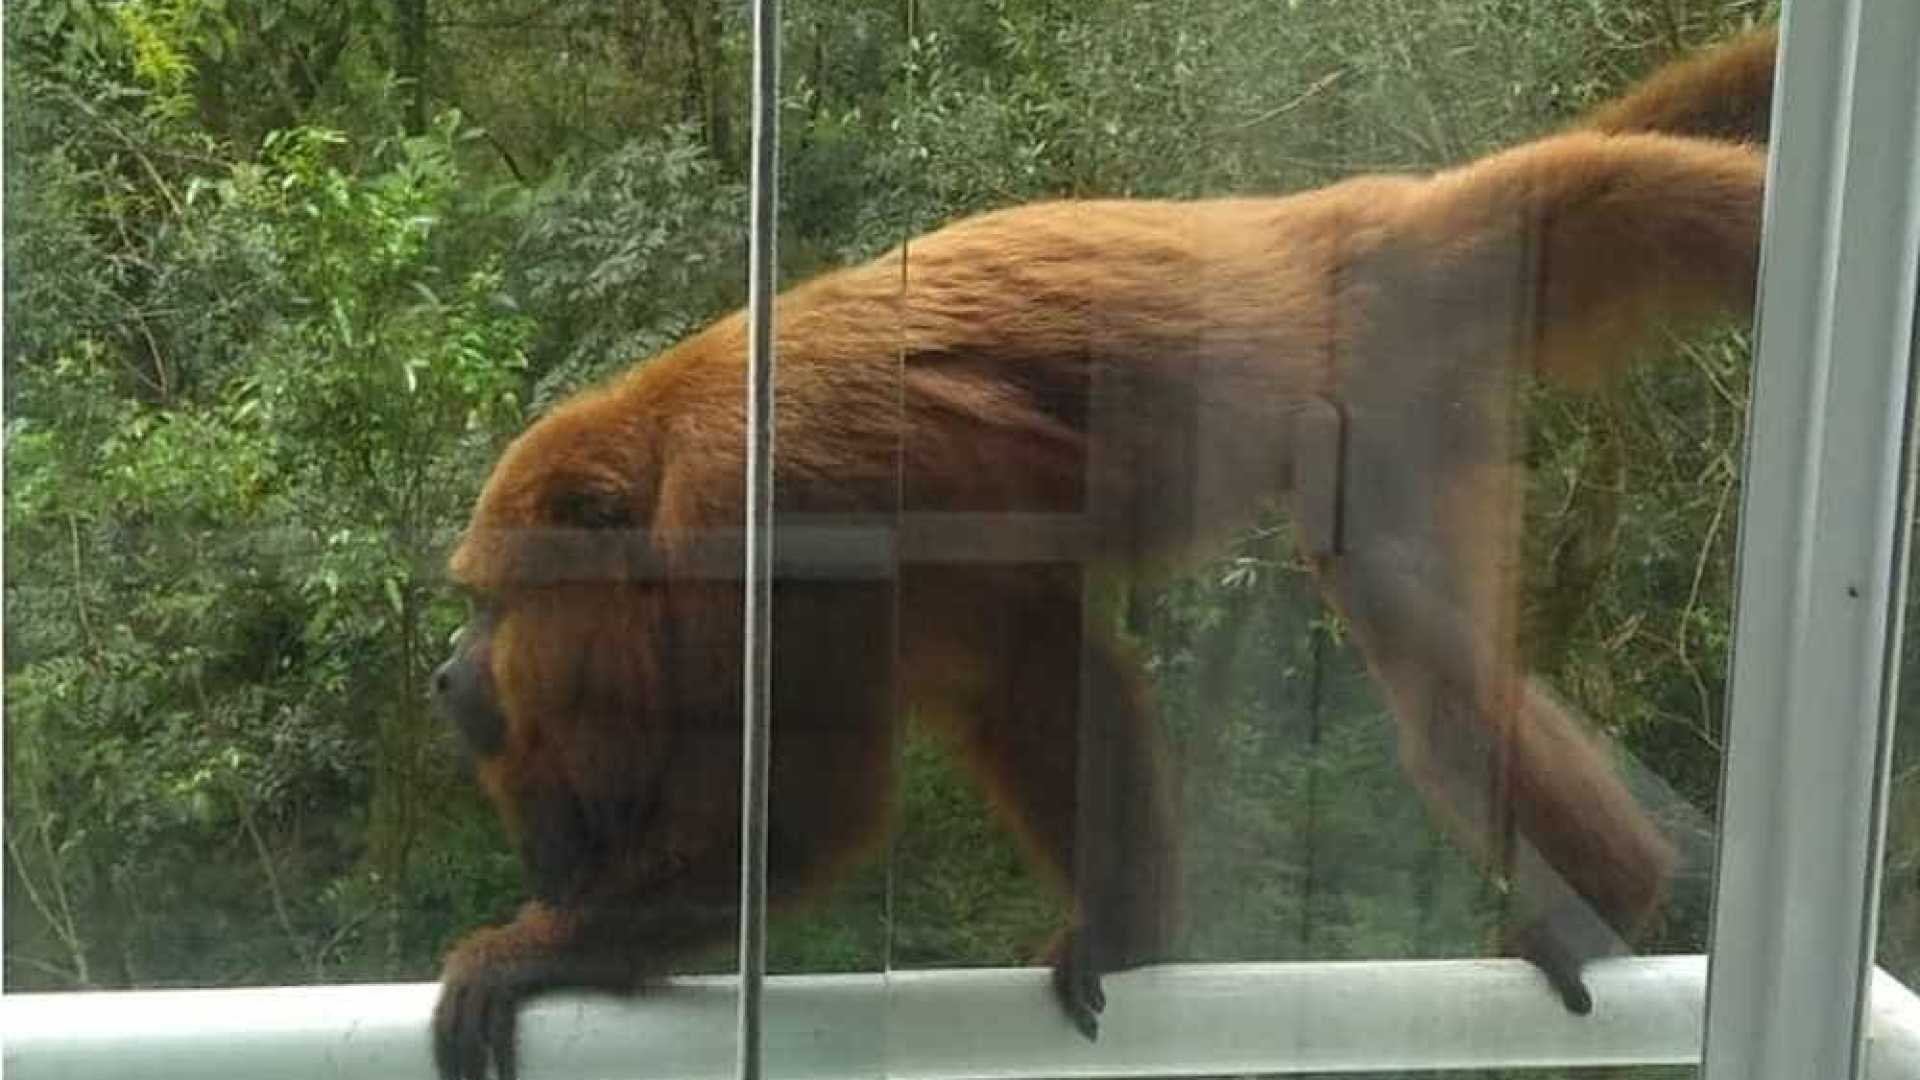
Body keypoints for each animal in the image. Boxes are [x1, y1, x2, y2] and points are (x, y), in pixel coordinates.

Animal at [430, 29, 1778, 1080]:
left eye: (492, 602)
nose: (447, 665)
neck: (658, 486)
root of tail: (1347, 221)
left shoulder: (763, 527)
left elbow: (806, 811)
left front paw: (521, 951)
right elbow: (1026, 659)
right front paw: (1126, 931)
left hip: (1369, 357)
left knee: (1411, 638)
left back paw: (1605, 901)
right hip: (1406, 407)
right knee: (1410, 644)